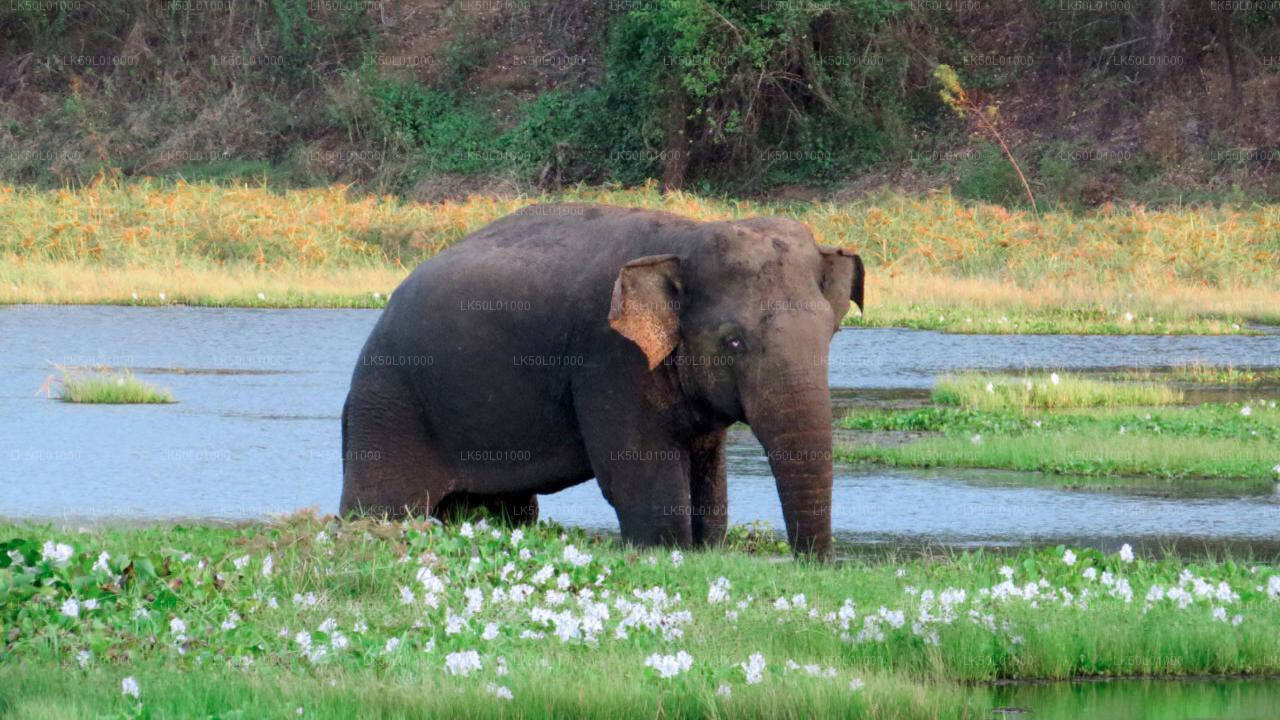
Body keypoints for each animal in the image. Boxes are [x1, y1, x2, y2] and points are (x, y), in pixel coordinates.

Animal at [340, 202, 865, 556]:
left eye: (831, 334)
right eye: (734, 342)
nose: (812, 565)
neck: (686, 238)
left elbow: (708, 476)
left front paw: (705, 548)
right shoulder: (610, 359)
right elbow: (634, 474)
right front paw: (668, 550)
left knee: (507, 510)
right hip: (389, 403)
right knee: (381, 504)